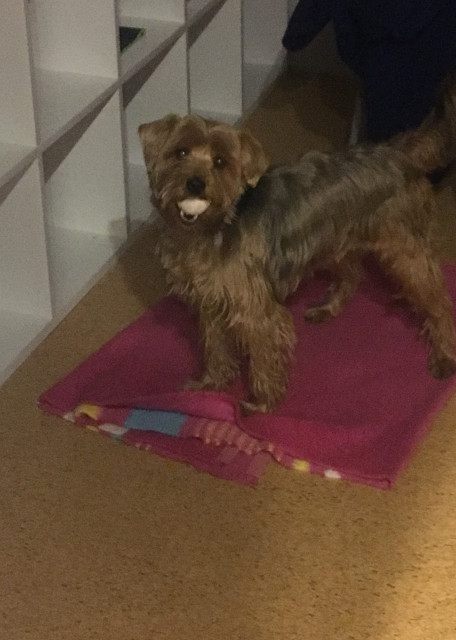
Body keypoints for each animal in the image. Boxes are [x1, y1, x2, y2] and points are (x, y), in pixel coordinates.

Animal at [138, 72, 456, 414]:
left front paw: (261, 403)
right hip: (336, 241)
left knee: (439, 302)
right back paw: (328, 308)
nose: (195, 183)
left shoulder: (256, 311)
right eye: (180, 152)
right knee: (353, 274)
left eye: (221, 162)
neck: (210, 229)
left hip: (405, 253)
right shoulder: (209, 302)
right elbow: (214, 346)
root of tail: (399, 151)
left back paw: (445, 355)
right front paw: (212, 382)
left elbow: (264, 359)